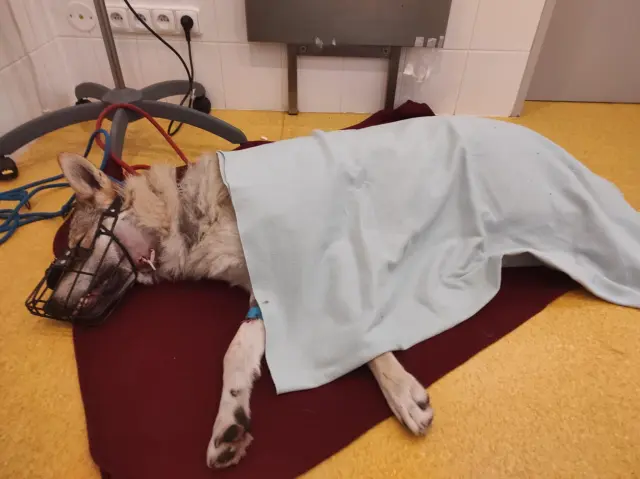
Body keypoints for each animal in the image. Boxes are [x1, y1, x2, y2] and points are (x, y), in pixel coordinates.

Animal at [51, 151, 434, 469]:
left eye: (77, 251)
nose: (53, 304)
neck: (184, 217)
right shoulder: (262, 296)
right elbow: (236, 354)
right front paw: (229, 417)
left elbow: (361, 335)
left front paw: (399, 389)